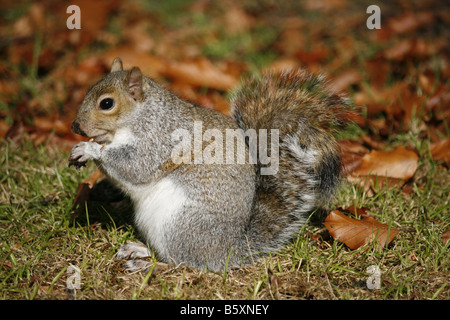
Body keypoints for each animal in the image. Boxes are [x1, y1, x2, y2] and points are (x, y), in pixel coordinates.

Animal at [69, 58, 352, 272]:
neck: (142, 116)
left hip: (180, 224)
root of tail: (229, 250)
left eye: (107, 103)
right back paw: (139, 250)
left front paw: (89, 149)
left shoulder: (161, 140)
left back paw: (150, 265)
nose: (75, 127)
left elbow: (137, 167)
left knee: (182, 263)